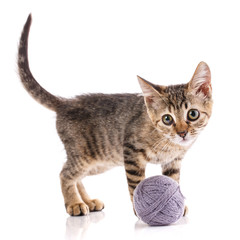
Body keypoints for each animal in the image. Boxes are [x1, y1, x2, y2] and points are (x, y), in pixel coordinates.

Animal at [17, 15, 213, 218]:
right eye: (167, 119)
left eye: (192, 114)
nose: (182, 133)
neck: (168, 143)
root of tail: (66, 103)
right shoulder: (131, 152)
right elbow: (136, 184)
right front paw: (140, 209)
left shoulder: (173, 162)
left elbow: (173, 181)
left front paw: (177, 204)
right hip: (85, 155)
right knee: (65, 173)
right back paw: (74, 203)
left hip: (99, 162)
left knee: (75, 175)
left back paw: (87, 201)